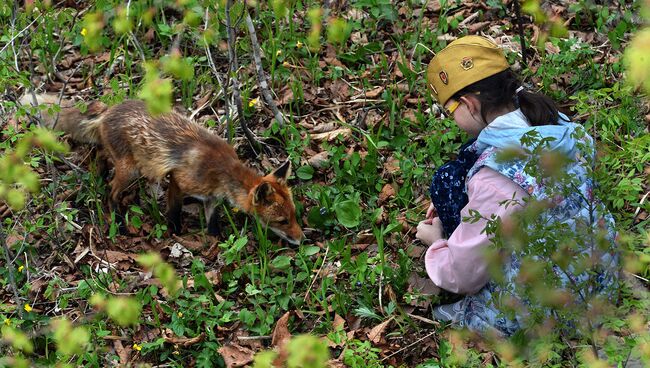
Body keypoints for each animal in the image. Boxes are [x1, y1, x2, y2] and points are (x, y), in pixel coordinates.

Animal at [20, 94, 304, 244]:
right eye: (282, 221)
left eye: (295, 215)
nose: (302, 239)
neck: (221, 170)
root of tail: (109, 109)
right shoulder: (178, 180)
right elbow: (174, 210)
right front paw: (174, 232)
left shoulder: (211, 197)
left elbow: (212, 219)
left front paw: (216, 238)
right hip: (130, 170)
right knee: (111, 193)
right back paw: (118, 221)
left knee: (99, 154)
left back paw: (98, 175)